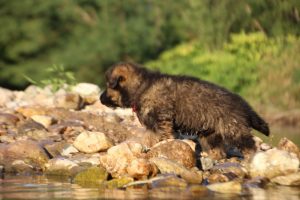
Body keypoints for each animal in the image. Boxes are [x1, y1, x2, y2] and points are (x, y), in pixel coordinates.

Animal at [101, 62, 270, 159]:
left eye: (108, 85)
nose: (100, 99)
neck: (142, 87)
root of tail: (242, 104)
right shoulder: (152, 126)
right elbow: (148, 138)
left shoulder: (162, 120)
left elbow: (162, 136)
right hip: (211, 133)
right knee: (218, 149)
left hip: (233, 128)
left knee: (249, 145)